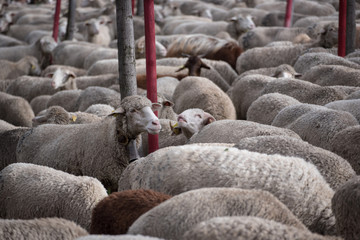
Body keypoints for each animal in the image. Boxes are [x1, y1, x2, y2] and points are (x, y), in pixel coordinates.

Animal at [15, 95, 162, 191]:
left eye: (150, 107)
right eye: (132, 110)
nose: (156, 123)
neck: (111, 138)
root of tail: (32, 131)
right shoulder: (102, 179)